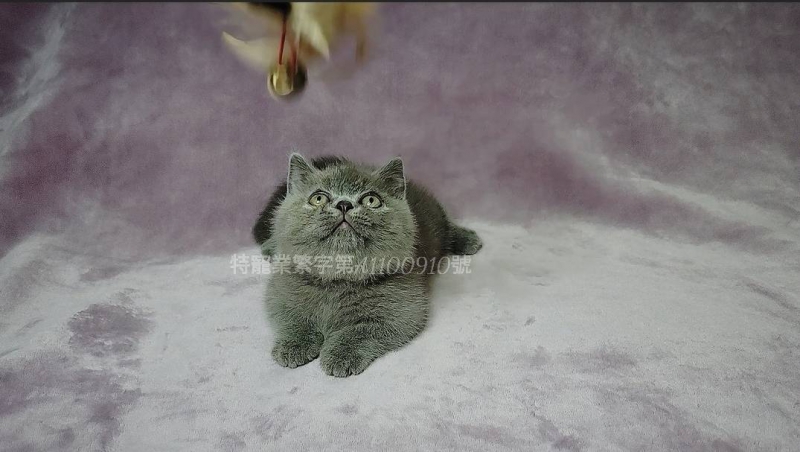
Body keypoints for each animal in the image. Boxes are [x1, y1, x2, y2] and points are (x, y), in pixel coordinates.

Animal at [254, 154, 482, 377]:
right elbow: (290, 317)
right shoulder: (281, 289)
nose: (344, 204)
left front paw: (341, 354)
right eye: (318, 198)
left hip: (435, 216)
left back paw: (469, 240)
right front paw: (293, 345)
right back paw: (270, 247)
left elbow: (362, 330)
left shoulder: (403, 309)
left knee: (447, 227)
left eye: (371, 200)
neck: (339, 278)